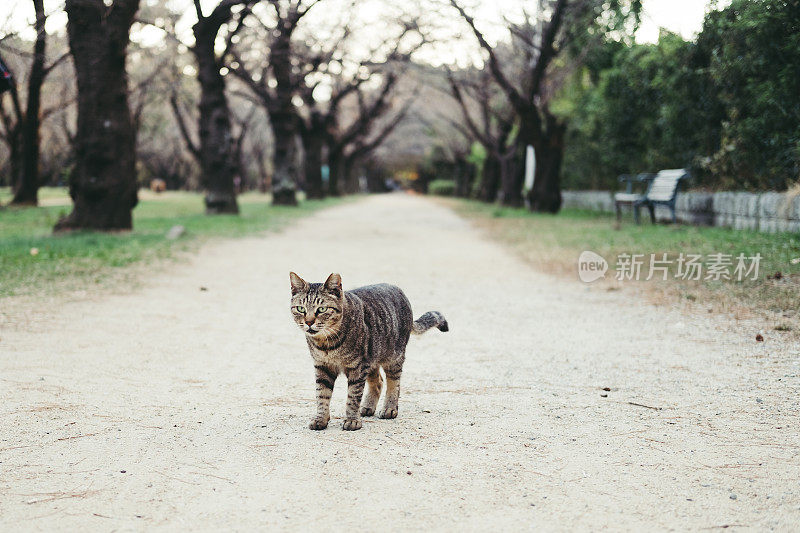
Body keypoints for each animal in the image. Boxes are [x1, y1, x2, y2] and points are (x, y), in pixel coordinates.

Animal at [290, 272, 450, 430]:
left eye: (322, 309)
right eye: (301, 309)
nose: (308, 322)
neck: (326, 343)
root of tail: (399, 290)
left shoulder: (357, 368)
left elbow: (353, 396)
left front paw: (352, 420)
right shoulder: (322, 367)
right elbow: (322, 395)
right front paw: (321, 419)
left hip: (393, 358)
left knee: (394, 384)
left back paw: (389, 408)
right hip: (372, 359)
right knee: (378, 382)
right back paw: (368, 407)